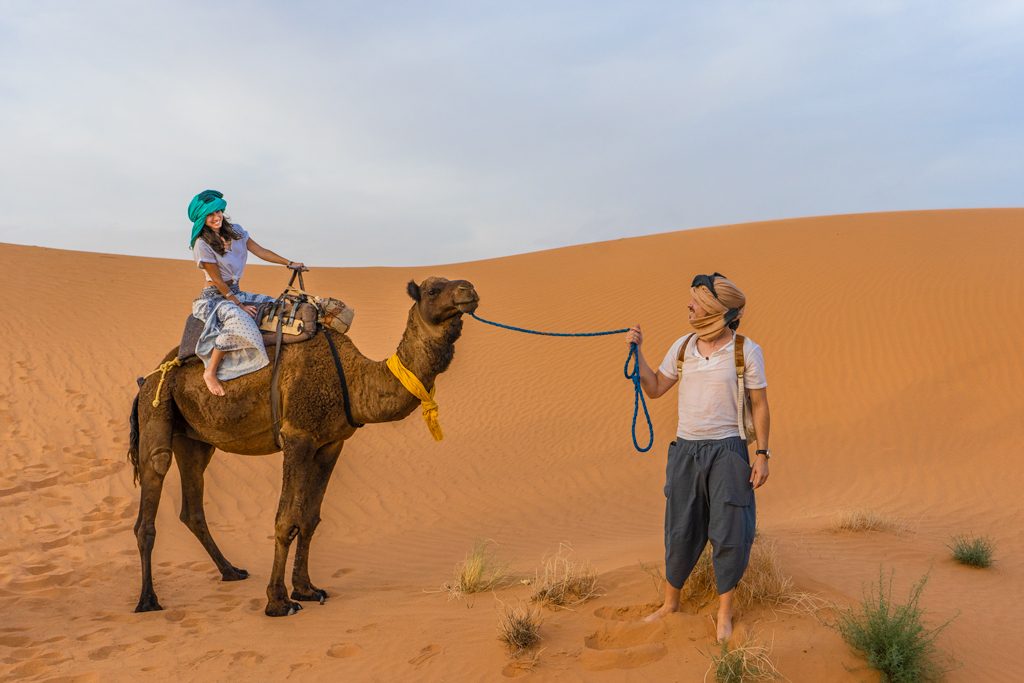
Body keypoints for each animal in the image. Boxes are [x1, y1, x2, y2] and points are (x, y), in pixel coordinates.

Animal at [127, 277, 479, 617]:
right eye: (433, 289)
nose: (469, 289)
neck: (353, 378)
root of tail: (148, 377)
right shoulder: (298, 436)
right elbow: (285, 520)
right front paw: (278, 601)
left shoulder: (330, 443)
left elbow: (309, 518)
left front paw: (307, 589)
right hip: (157, 406)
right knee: (153, 481)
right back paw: (148, 600)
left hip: (194, 440)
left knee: (193, 507)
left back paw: (231, 571)